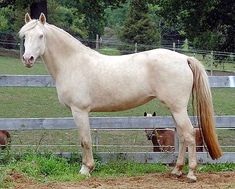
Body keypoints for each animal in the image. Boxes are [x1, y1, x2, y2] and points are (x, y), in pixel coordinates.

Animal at [18, 13, 222, 182]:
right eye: (25, 36)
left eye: (41, 36)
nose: (27, 59)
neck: (73, 63)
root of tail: (184, 59)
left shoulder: (79, 111)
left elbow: (85, 140)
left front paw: (86, 169)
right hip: (174, 109)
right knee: (182, 134)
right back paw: (177, 170)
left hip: (178, 108)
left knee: (189, 134)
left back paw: (191, 173)